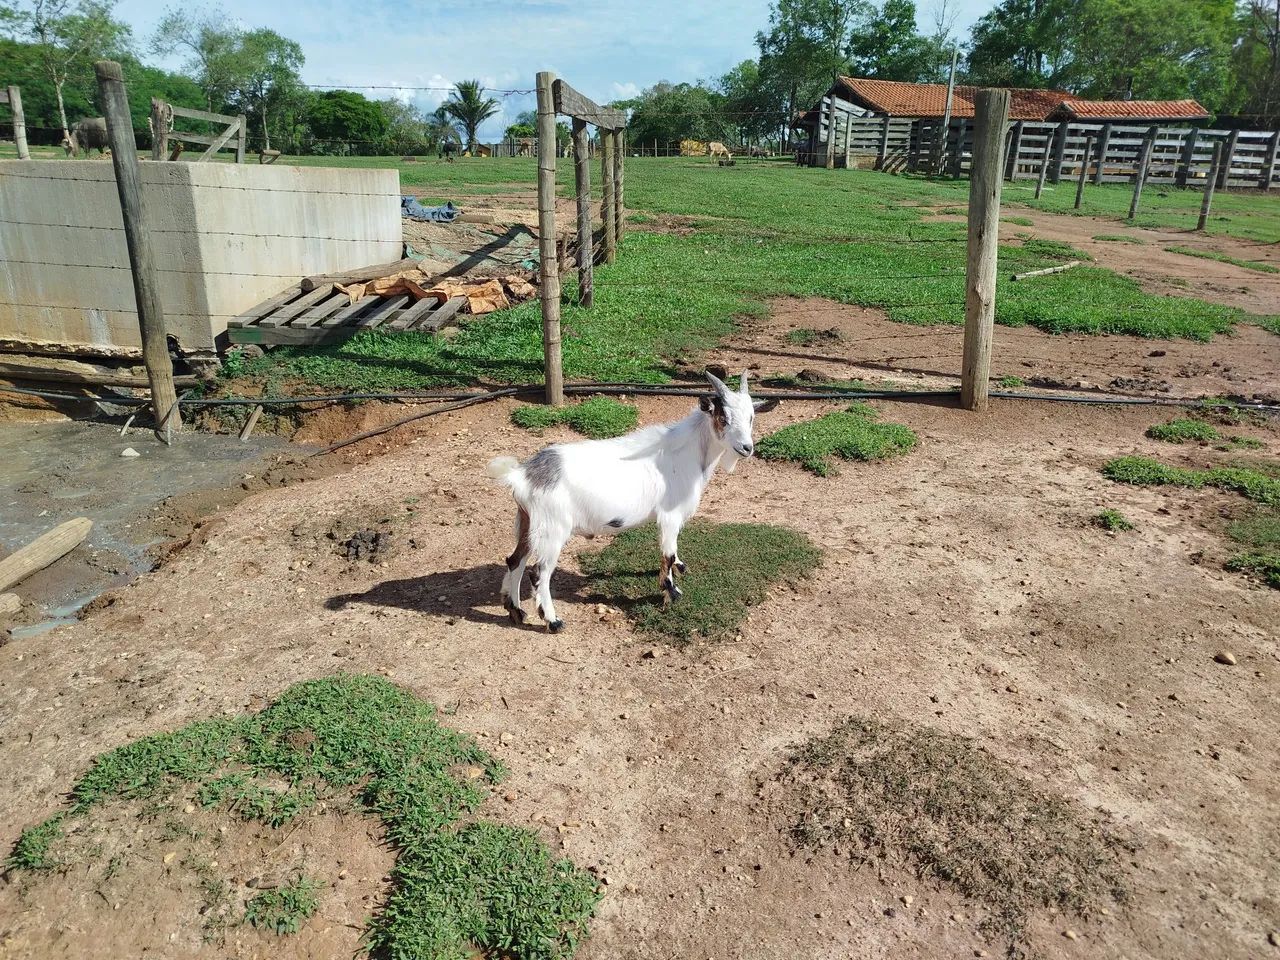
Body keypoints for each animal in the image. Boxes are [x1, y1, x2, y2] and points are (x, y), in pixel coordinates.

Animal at [486, 371, 777, 631]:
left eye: (751, 417)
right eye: (723, 417)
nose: (746, 448)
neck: (689, 453)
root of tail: (522, 476)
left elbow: (672, 552)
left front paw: (679, 568)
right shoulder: (669, 515)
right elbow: (667, 554)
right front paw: (671, 592)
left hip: (528, 522)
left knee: (515, 560)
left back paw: (515, 610)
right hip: (552, 529)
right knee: (539, 572)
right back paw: (552, 621)